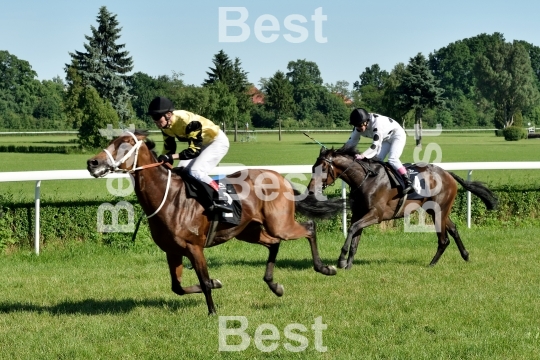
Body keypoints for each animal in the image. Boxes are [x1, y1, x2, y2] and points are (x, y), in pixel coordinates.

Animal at [86, 131, 336, 316]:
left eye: (125, 144)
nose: (92, 162)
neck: (168, 197)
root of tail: (281, 178)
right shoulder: (172, 251)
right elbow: (177, 287)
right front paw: (217, 283)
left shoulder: (194, 247)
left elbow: (204, 281)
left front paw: (213, 311)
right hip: (248, 231)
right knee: (274, 243)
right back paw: (275, 286)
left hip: (280, 224)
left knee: (309, 228)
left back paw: (324, 267)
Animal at [302, 145, 496, 268]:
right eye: (313, 167)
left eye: (323, 168)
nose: (310, 190)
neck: (366, 179)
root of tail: (447, 173)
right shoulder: (359, 213)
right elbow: (355, 235)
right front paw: (348, 264)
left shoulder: (376, 214)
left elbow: (352, 229)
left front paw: (341, 259)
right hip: (435, 210)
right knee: (454, 229)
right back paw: (465, 255)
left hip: (439, 210)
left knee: (444, 239)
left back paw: (432, 264)